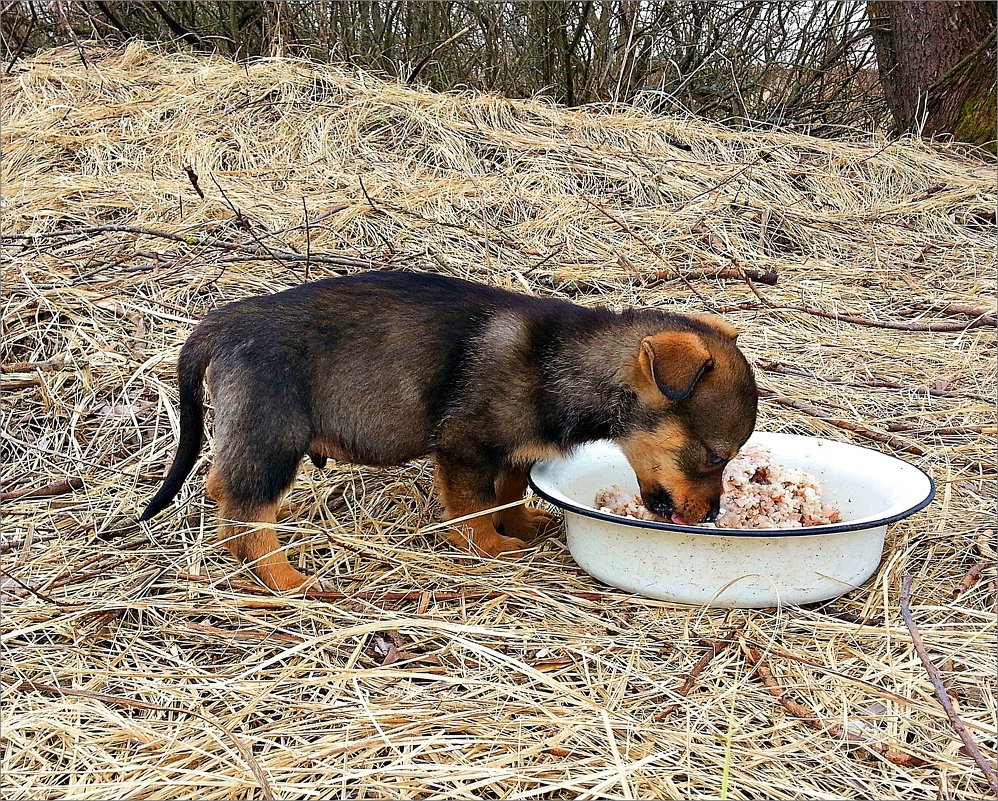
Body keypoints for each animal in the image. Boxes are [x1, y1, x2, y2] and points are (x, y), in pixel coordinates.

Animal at [141, 272, 756, 592]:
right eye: (712, 456)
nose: (711, 517)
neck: (565, 362)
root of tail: (223, 323)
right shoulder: (466, 448)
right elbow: (474, 507)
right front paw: (491, 547)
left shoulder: (513, 453)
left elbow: (507, 496)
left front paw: (521, 525)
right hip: (275, 435)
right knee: (243, 513)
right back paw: (284, 578)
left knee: (225, 487)